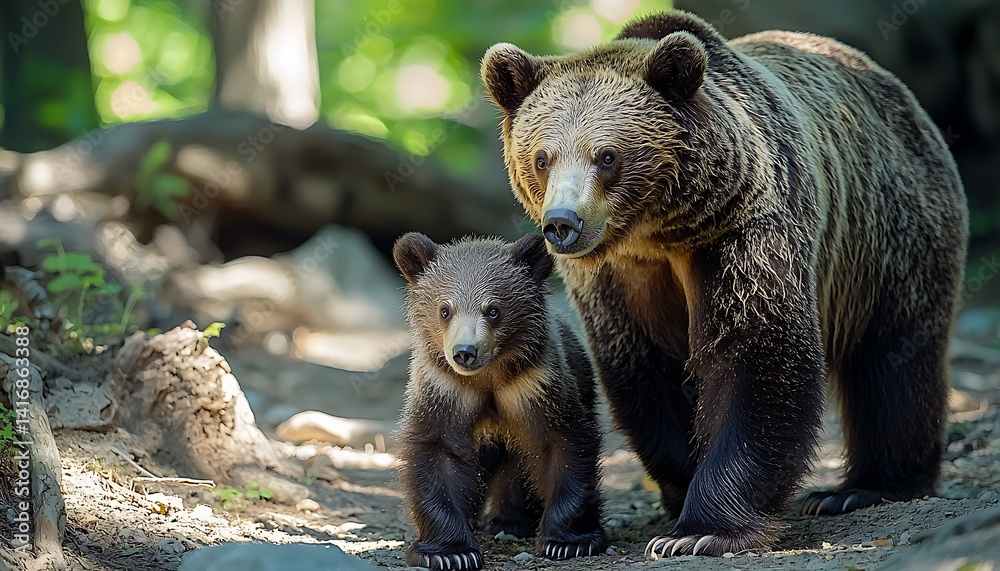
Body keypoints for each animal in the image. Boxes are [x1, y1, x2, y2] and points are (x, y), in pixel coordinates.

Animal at [392, 232, 607, 570]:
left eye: (493, 309)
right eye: (445, 309)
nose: (465, 352)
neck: (488, 378)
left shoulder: (537, 388)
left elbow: (563, 443)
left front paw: (569, 541)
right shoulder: (444, 392)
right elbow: (436, 451)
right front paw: (449, 552)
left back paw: (509, 521)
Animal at [480, 9, 968, 558]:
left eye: (606, 156)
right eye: (542, 157)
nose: (562, 223)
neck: (658, 233)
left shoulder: (742, 230)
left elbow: (754, 355)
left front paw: (700, 530)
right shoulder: (618, 279)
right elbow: (648, 370)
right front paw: (680, 491)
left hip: (887, 235)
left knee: (894, 358)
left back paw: (864, 488)